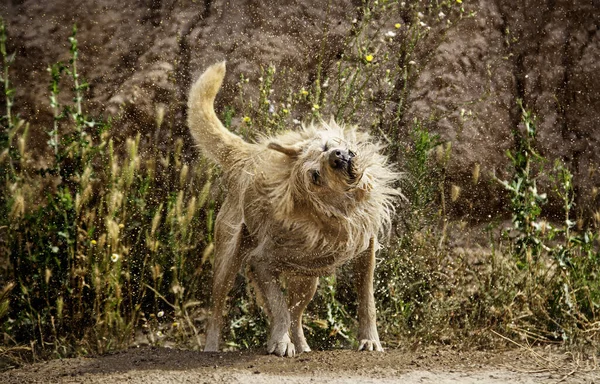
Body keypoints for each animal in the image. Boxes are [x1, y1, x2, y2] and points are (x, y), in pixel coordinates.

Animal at [189, 60, 398, 356]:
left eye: (326, 146)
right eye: (315, 177)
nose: (337, 156)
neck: (339, 214)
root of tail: (247, 153)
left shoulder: (365, 250)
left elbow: (366, 300)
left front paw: (370, 340)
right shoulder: (261, 262)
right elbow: (278, 308)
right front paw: (280, 342)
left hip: (307, 280)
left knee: (296, 314)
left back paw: (302, 346)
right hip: (227, 262)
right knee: (219, 309)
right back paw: (212, 347)